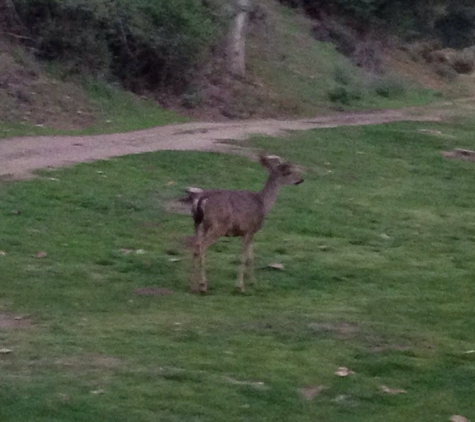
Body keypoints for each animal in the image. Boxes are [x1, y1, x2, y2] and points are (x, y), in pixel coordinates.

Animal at [186, 153, 304, 296]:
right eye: (288, 172)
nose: (300, 179)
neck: (263, 204)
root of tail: (202, 199)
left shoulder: (250, 233)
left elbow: (250, 256)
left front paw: (253, 282)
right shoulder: (249, 229)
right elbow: (243, 257)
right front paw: (240, 287)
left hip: (198, 224)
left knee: (195, 246)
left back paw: (192, 285)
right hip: (217, 226)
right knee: (201, 246)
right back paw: (203, 286)